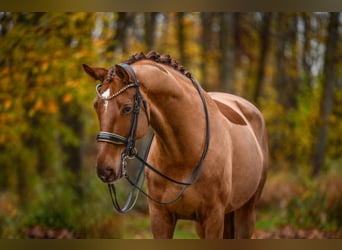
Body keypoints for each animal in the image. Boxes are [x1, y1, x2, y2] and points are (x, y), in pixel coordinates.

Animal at [82, 50, 268, 238]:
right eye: (96, 106)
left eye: (127, 108)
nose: (105, 170)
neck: (183, 156)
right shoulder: (160, 218)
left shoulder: (213, 218)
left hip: (246, 212)